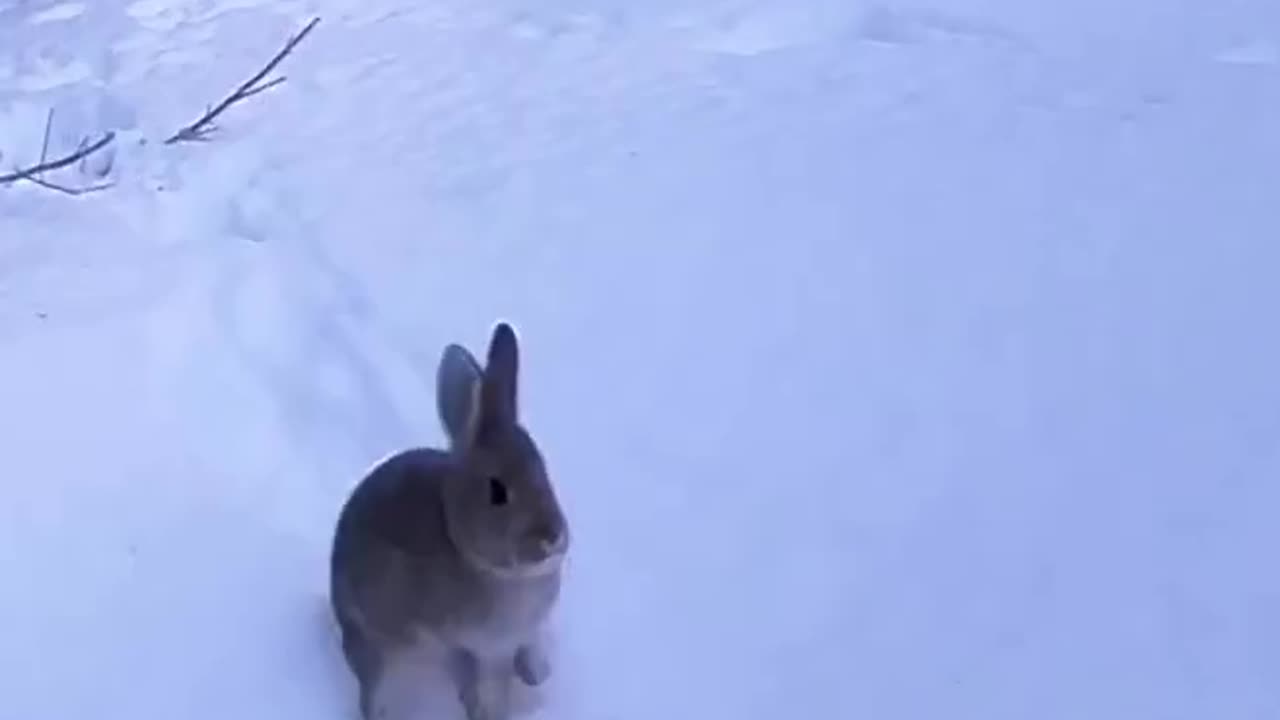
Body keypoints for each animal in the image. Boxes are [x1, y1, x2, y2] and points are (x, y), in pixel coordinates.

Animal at [329, 321, 570, 720]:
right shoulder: (488, 647)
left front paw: (538, 675)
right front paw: (489, 712)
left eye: (545, 474)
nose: (551, 538)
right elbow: (490, 682)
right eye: (497, 492)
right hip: (380, 646)